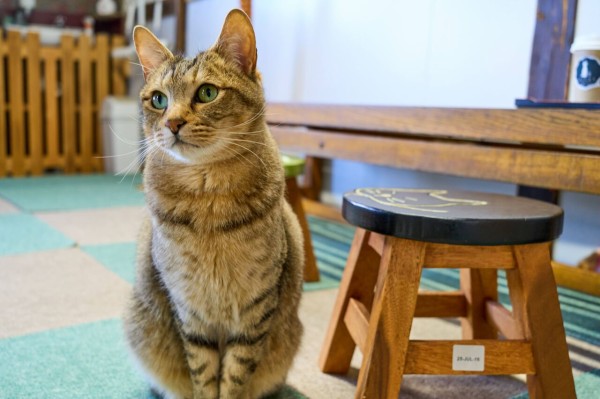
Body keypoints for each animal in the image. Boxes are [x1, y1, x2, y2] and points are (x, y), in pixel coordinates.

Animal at [124, 9, 308, 399]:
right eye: (158, 99)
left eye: (207, 93)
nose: (173, 122)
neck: (208, 202)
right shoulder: (189, 310)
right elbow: (203, 375)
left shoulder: (255, 311)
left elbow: (235, 376)